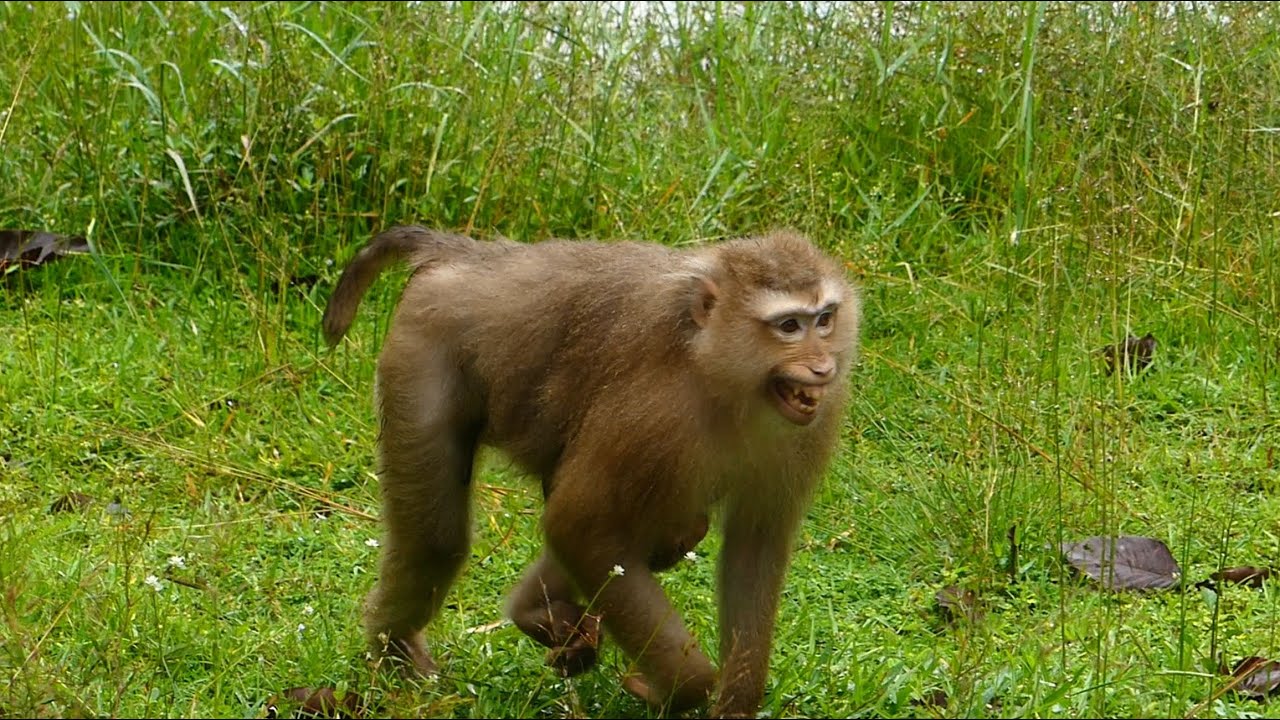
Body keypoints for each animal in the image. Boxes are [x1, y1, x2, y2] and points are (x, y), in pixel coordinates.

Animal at [322, 225, 861, 718]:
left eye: (824, 320)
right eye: (789, 326)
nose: (821, 367)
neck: (717, 371)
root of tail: (473, 259)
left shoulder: (814, 421)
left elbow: (755, 545)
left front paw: (735, 703)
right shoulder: (649, 411)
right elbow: (577, 524)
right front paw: (684, 685)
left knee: (669, 528)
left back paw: (533, 609)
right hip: (422, 349)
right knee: (438, 539)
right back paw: (398, 656)